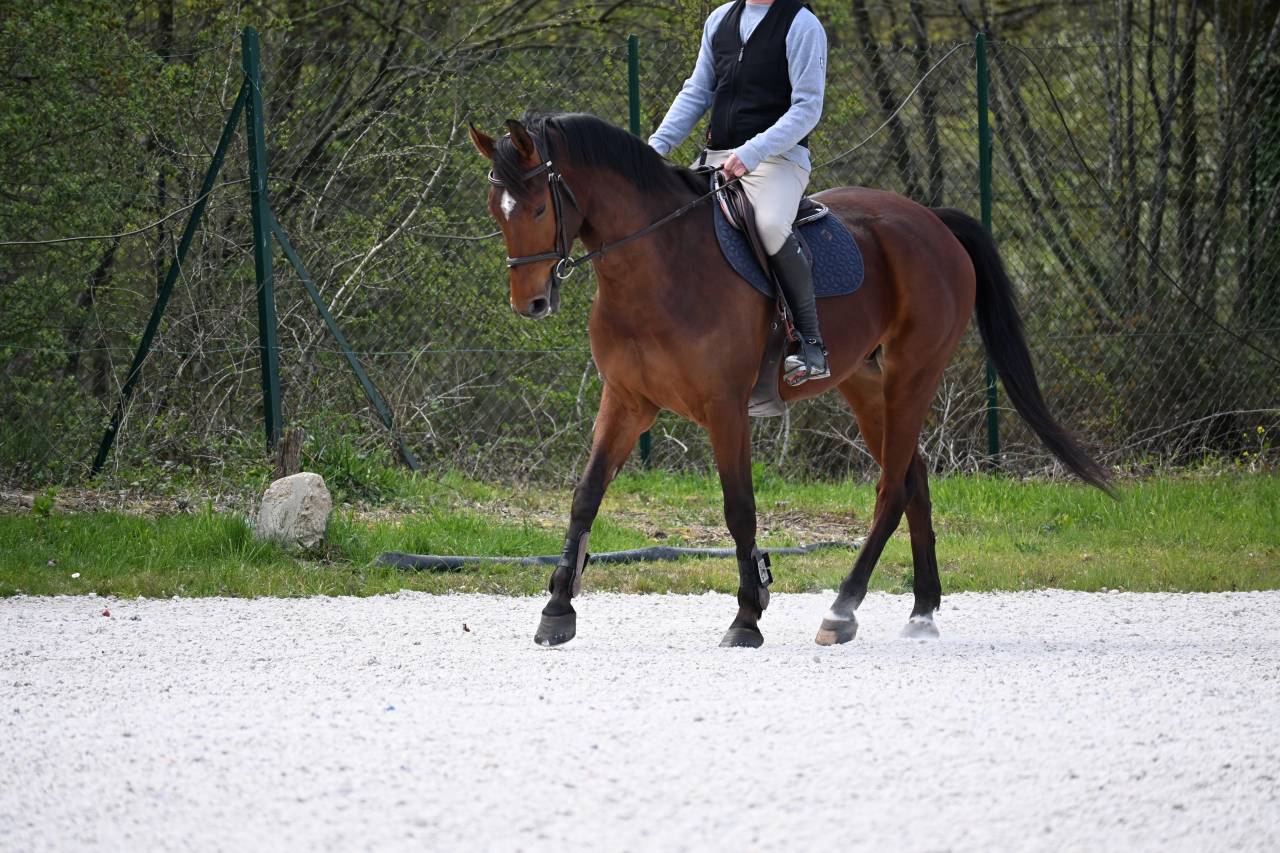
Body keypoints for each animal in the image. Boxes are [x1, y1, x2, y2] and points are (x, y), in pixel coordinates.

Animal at [468, 112, 1110, 648]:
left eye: (536, 209)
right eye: (496, 211)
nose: (530, 303)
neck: (656, 265)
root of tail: (932, 220)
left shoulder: (725, 408)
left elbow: (739, 508)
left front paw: (747, 616)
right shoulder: (627, 402)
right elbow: (585, 495)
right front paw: (557, 611)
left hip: (914, 373)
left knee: (890, 488)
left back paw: (842, 609)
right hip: (864, 382)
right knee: (912, 478)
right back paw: (923, 611)